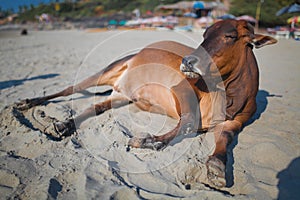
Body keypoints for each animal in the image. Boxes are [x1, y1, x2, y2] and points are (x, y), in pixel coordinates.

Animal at [17, 19, 276, 188]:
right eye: (204, 35)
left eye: (230, 36)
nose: (187, 62)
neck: (228, 94)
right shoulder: (181, 88)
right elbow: (189, 121)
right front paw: (149, 141)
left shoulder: (236, 121)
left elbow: (225, 138)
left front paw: (217, 166)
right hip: (108, 70)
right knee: (70, 89)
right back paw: (29, 104)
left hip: (122, 95)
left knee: (96, 107)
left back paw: (65, 124)